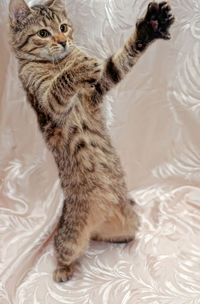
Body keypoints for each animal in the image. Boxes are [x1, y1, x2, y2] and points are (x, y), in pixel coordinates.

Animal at [8, 0, 174, 282]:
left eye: (64, 27)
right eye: (43, 33)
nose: (64, 41)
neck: (55, 64)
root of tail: (98, 223)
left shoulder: (99, 86)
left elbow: (119, 62)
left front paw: (150, 26)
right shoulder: (50, 107)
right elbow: (59, 86)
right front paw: (77, 67)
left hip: (130, 221)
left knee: (110, 235)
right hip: (70, 238)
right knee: (63, 250)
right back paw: (63, 271)